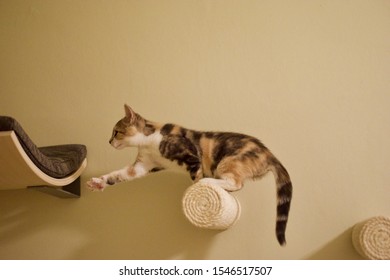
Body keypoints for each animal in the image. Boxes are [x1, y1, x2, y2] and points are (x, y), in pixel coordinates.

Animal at [86, 104, 292, 245]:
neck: (149, 141)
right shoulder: (141, 166)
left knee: (236, 183)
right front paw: (98, 182)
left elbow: (196, 177)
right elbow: (118, 175)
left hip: (228, 161)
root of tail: (269, 154)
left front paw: (196, 195)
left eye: (116, 132)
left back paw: (210, 181)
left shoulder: (192, 157)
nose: (109, 141)